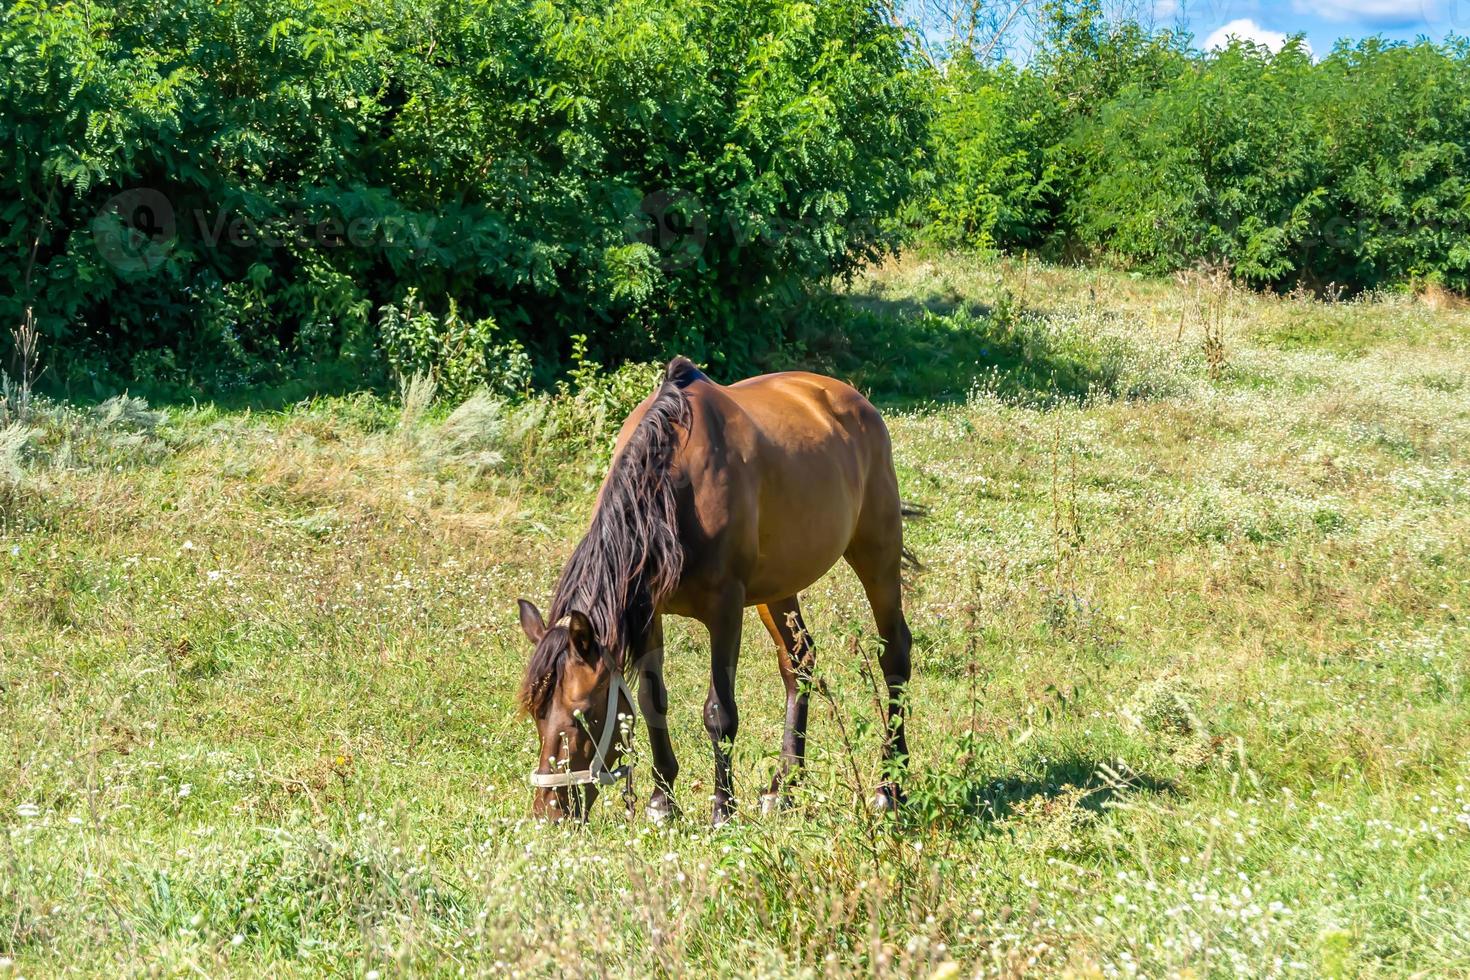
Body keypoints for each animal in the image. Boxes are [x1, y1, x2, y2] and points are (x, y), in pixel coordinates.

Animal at [514, 357, 905, 822]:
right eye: (536, 714)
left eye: (583, 714)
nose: (549, 813)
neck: (670, 489)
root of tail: (855, 401)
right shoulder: (648, 612)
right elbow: (651, 700)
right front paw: (662, 801)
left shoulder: (725, 608)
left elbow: (719, 711)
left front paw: (722, 809)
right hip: (778, 588)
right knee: (799, 663)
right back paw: (783, 787)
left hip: (877, 553)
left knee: (895, 653)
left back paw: (890, 787)